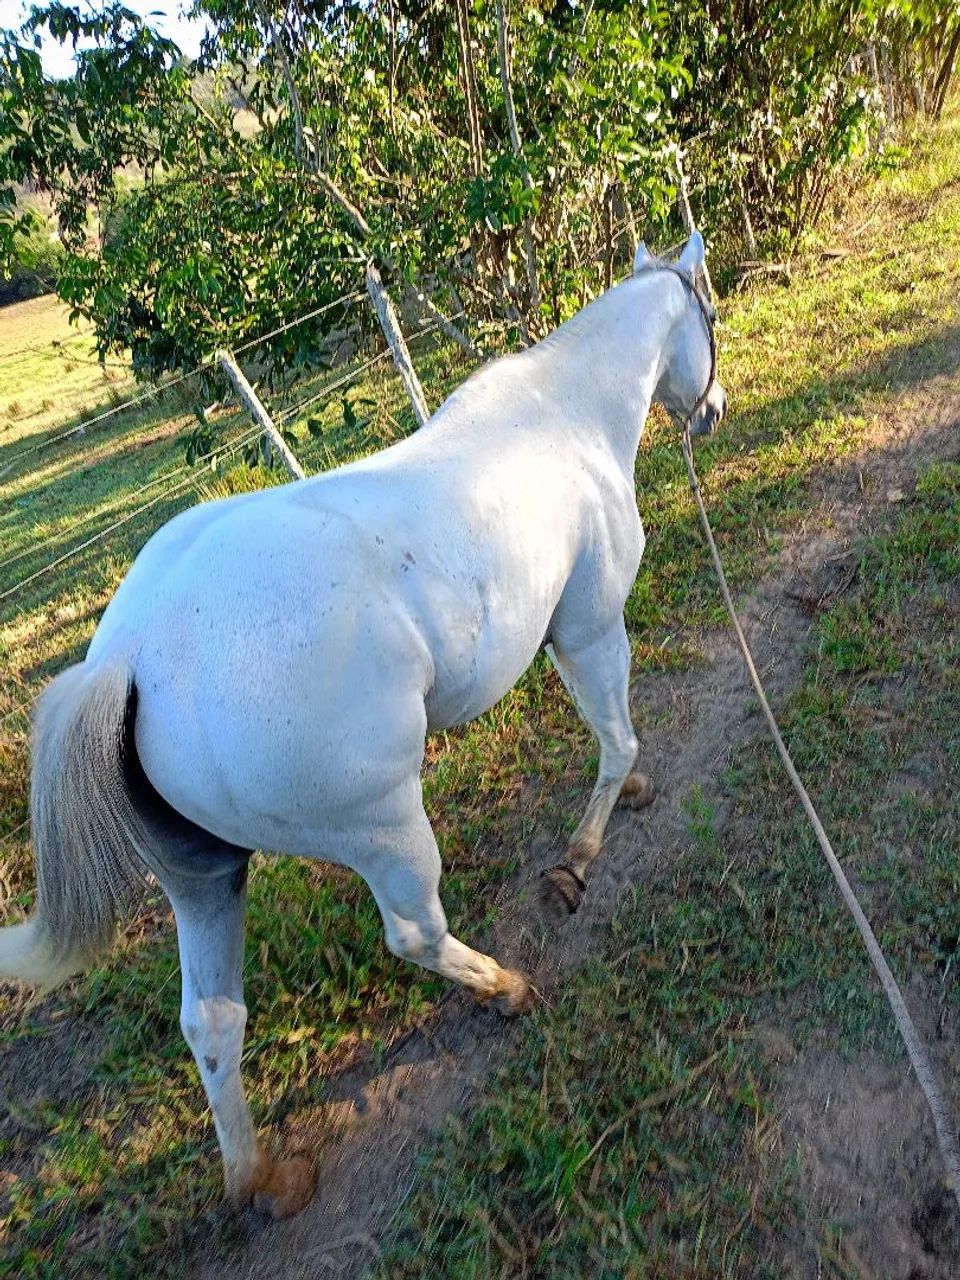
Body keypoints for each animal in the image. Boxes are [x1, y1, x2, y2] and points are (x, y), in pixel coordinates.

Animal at [0, 232, 726, 1218]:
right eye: (710, 313)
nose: (714, 409)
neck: (562, 416)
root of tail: (130, 659)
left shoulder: (562, 638)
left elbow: (609, 733)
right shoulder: (589, 627)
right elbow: (616, 740)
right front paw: (579, 861)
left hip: (204, 880)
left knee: (212, 1021)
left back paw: (263, 1180)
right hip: (385, 832)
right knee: (413, 933)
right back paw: (506, 988)